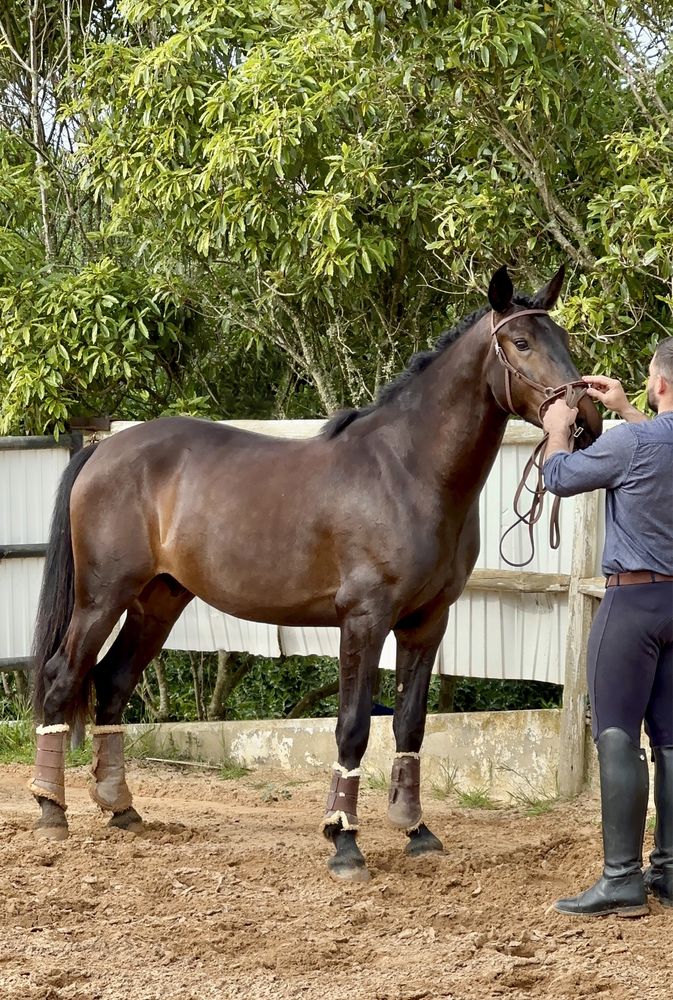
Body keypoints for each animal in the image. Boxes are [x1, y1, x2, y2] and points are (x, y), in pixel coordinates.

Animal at [30, 268, 600, 884]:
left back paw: (121, 809)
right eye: (521, 343)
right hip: (102, 597)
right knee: (63, 677)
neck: (408, 471)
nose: (586, 421)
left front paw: (416, 830)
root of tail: (104, 449)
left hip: (159, 600)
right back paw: (51, 811)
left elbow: (410, 725)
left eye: (563, 338)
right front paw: (343, 841)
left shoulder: (427, 622)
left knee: (112, 681)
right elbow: (353, 727)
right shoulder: (364, 621)